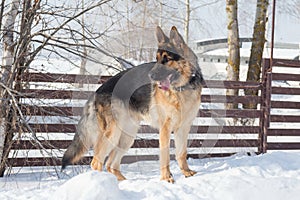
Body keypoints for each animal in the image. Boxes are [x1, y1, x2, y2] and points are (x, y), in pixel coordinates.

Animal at [63, 26, 204, 183]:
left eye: (166, 59)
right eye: (157, 59)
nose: (150, 76)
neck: (182, 88)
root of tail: (97, 91)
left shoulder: (183, 128)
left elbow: (182, 153)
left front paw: (186, 172)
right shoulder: (165, 130)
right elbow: (165, 156)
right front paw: (166, 178)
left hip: (127, 137)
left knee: (111, 164)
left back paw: (123, 182)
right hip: (113, 134)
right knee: (97, 162)